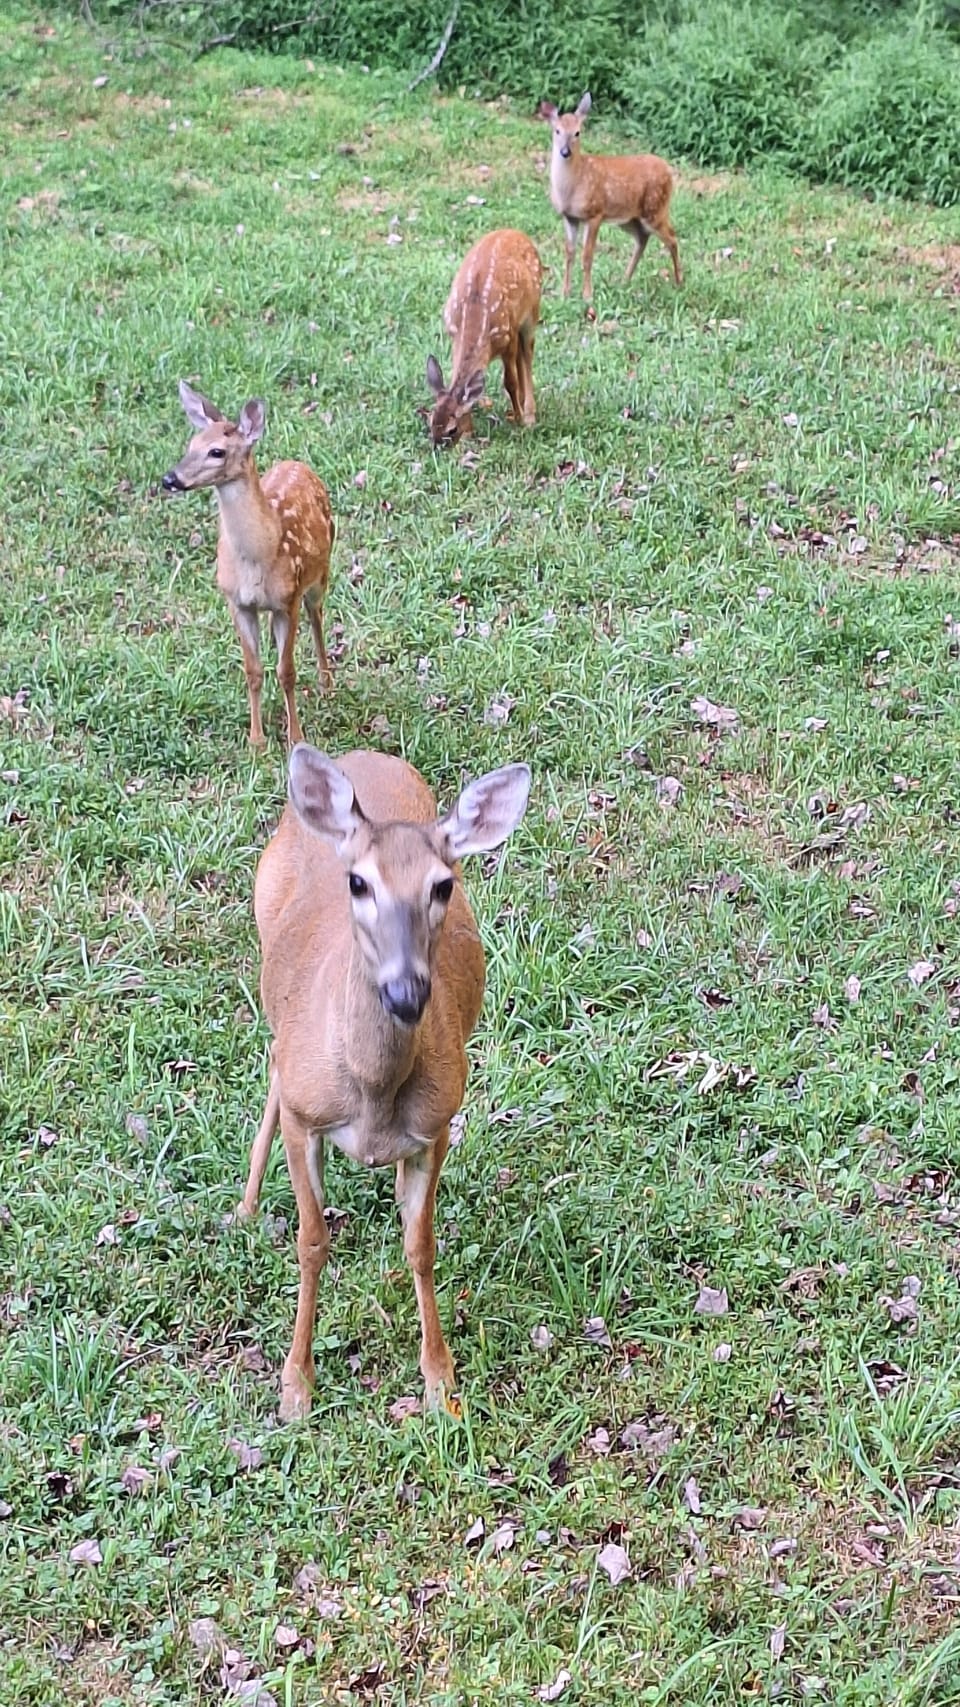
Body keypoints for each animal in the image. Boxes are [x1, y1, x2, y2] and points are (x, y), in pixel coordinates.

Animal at [162, 381, 334, 748]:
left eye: (217, 452)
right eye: (191, 444)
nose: (170, 479)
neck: (256, 560)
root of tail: (299, 464)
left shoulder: (288, 599)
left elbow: (286, 671)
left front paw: (295, 736)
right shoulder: (236, 601)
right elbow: (253, 671)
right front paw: (256, 740)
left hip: (320, 574)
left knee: (317, 617)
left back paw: (326, 682)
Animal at [236, 743, 531, 1421]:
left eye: (443, 884)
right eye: (358, 881)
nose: (405, 991)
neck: (371, 1094)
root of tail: (364, 754)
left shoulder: (438, 1123)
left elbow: (421, 1245)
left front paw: (441, 1384)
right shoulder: (305, 1118)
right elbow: (312, 1241)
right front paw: (296, 1387)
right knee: (272, 1063)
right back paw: (243, 1208)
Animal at [425, 228, 544, 448]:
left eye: (452, 429)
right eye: (431, 422)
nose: (437, 446)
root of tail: (516, 232)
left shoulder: (507, 336)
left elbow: (510, 381)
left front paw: (520, 419)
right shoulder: (453, 334)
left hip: (532, 312)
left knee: (528, 354)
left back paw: (529, 414)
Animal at [542, 92, 682, 301]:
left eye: (577, 132)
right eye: (557, 130)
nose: (565, 152)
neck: (572, 187)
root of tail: (669, 170)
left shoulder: (595, 212)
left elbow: (587, 255)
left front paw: (587, 295)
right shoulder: (570, 217)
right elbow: (569, 253)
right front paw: (564, 293)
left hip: (655, 208)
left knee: (672, 238)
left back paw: (679, 282)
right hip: (630, 218)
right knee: (643, 238)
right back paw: (624, 280)